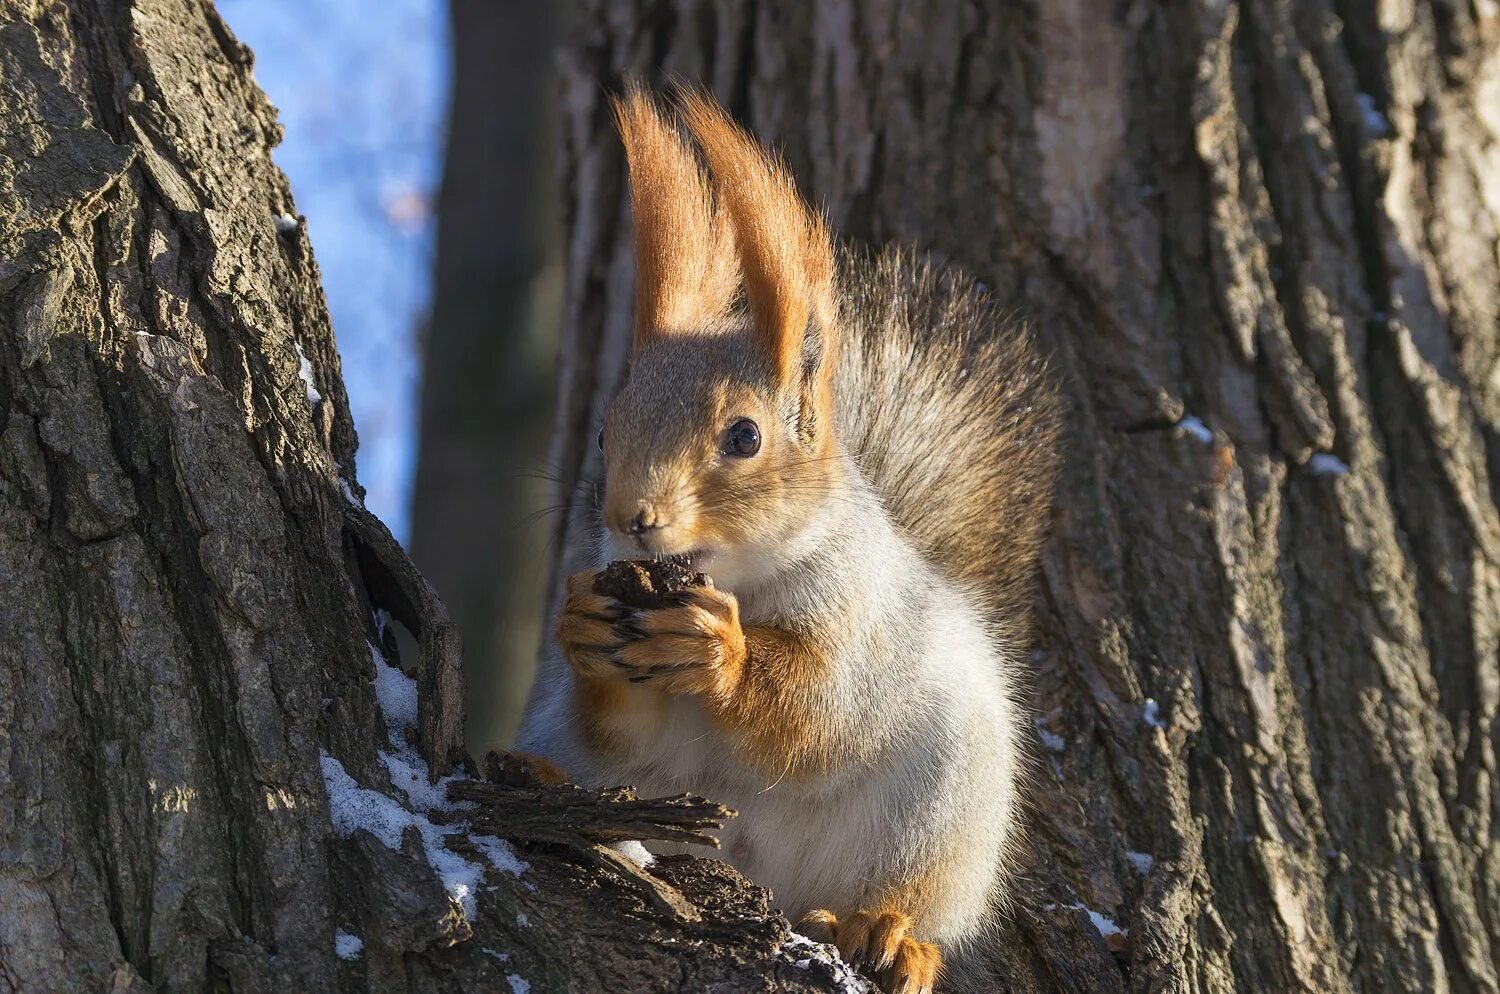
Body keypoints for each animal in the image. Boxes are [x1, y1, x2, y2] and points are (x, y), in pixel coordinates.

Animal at [522, 87, 1062, 994]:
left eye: (744, 436)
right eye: (603, 431)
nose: (632, 518)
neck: (733, 576)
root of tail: (764, 876)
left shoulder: (863, 616)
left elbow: (817, 709)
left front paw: (722, 653)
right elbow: (623, 726)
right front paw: (584, 629)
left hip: (940, 810)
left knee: (908, 894)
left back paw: (887, 933)